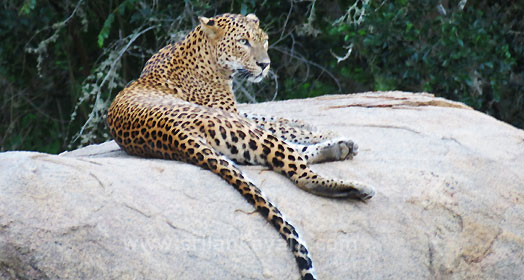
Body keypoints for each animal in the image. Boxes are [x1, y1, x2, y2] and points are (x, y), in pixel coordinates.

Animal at [107, 13, 376, 280]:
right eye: (243, 42)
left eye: (264, 40)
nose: (265, 65)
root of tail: (174, 134)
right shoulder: (232, 113)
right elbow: (280, 125)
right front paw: (324, 130)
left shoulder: (238, 112)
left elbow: (272, 117)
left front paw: (310, 124)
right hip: (241, 129)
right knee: (298, 170)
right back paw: (356, 184)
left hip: (239, 143)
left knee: (285, 155)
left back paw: (341, 148)